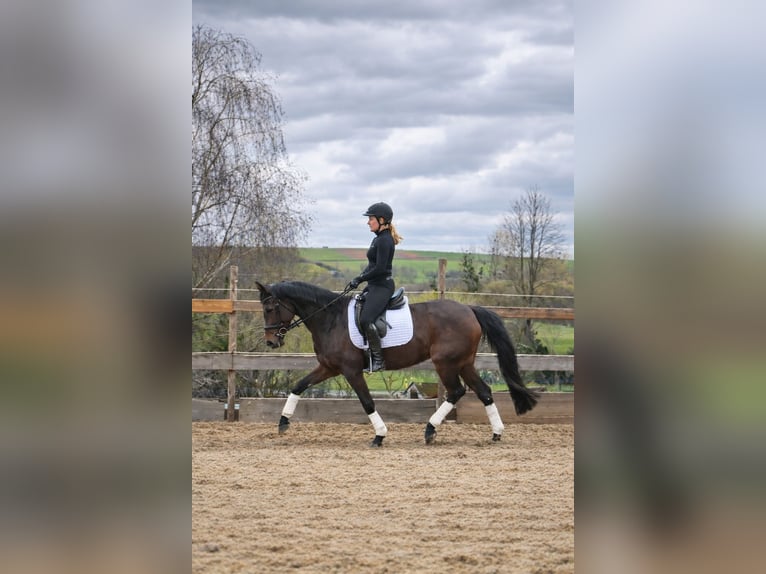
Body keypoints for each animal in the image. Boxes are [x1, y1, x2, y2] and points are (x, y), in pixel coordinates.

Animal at [256, 281, 539, 446]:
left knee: (456, 391)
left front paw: (379, 435)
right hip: (464, 363)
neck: (330, 319)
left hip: (445, 363)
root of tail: (469, 310)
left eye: (269, 309)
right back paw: (496, 433)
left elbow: (367, 402)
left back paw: (430, 430)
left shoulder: (350, 370)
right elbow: (298, 386)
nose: (270, 342)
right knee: (484, 392)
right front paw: (283, 423)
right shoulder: (329, 367)